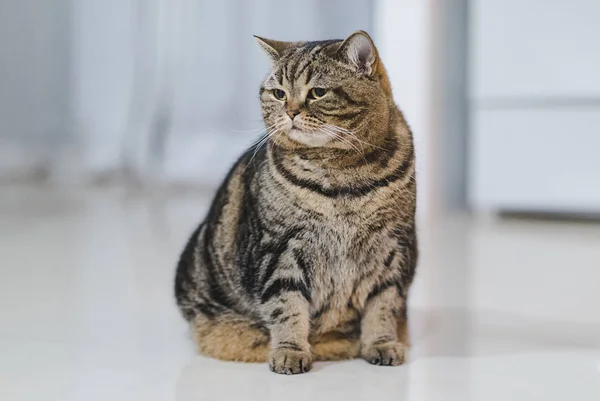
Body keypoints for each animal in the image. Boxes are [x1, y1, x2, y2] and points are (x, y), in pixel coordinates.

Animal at [173, 29, 418, 374]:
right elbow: (286, 306)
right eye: (278, 93)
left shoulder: (392, 249)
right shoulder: (280, 249)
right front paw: (290, 351)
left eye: (317, 92)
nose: (290, 111)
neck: (342, 178)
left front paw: (381, 344)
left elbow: (383, 305)